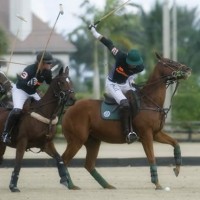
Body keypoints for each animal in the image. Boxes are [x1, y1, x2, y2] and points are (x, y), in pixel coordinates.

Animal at [61, 52, 192, 190]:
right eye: (170, 62)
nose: (187, 69)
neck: (149, 102)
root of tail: (68, 110)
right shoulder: (146, 134)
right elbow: (152, 158)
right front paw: (157, 184)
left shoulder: (156, 133)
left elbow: (176, 143)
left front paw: (177, 169)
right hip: (77, 140)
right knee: (64, 159)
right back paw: (70, 185)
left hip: (93, 141)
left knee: (88, 165)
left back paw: (107, 185)